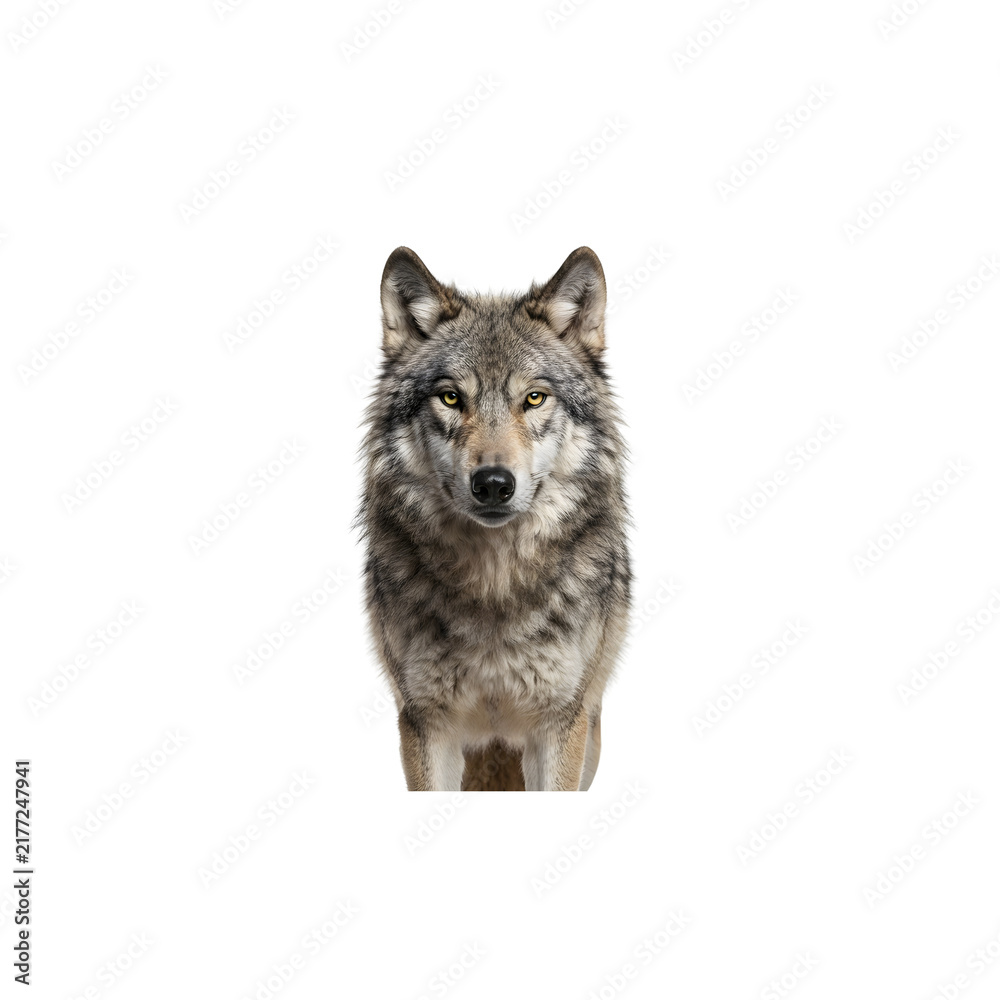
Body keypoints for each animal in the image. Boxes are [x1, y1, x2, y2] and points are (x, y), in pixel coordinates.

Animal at [357, 246, 631, 791]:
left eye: (534, 398)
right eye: (451, 397)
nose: (493, 484)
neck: (494, 583)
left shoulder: (561, 724)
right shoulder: (424, 722)